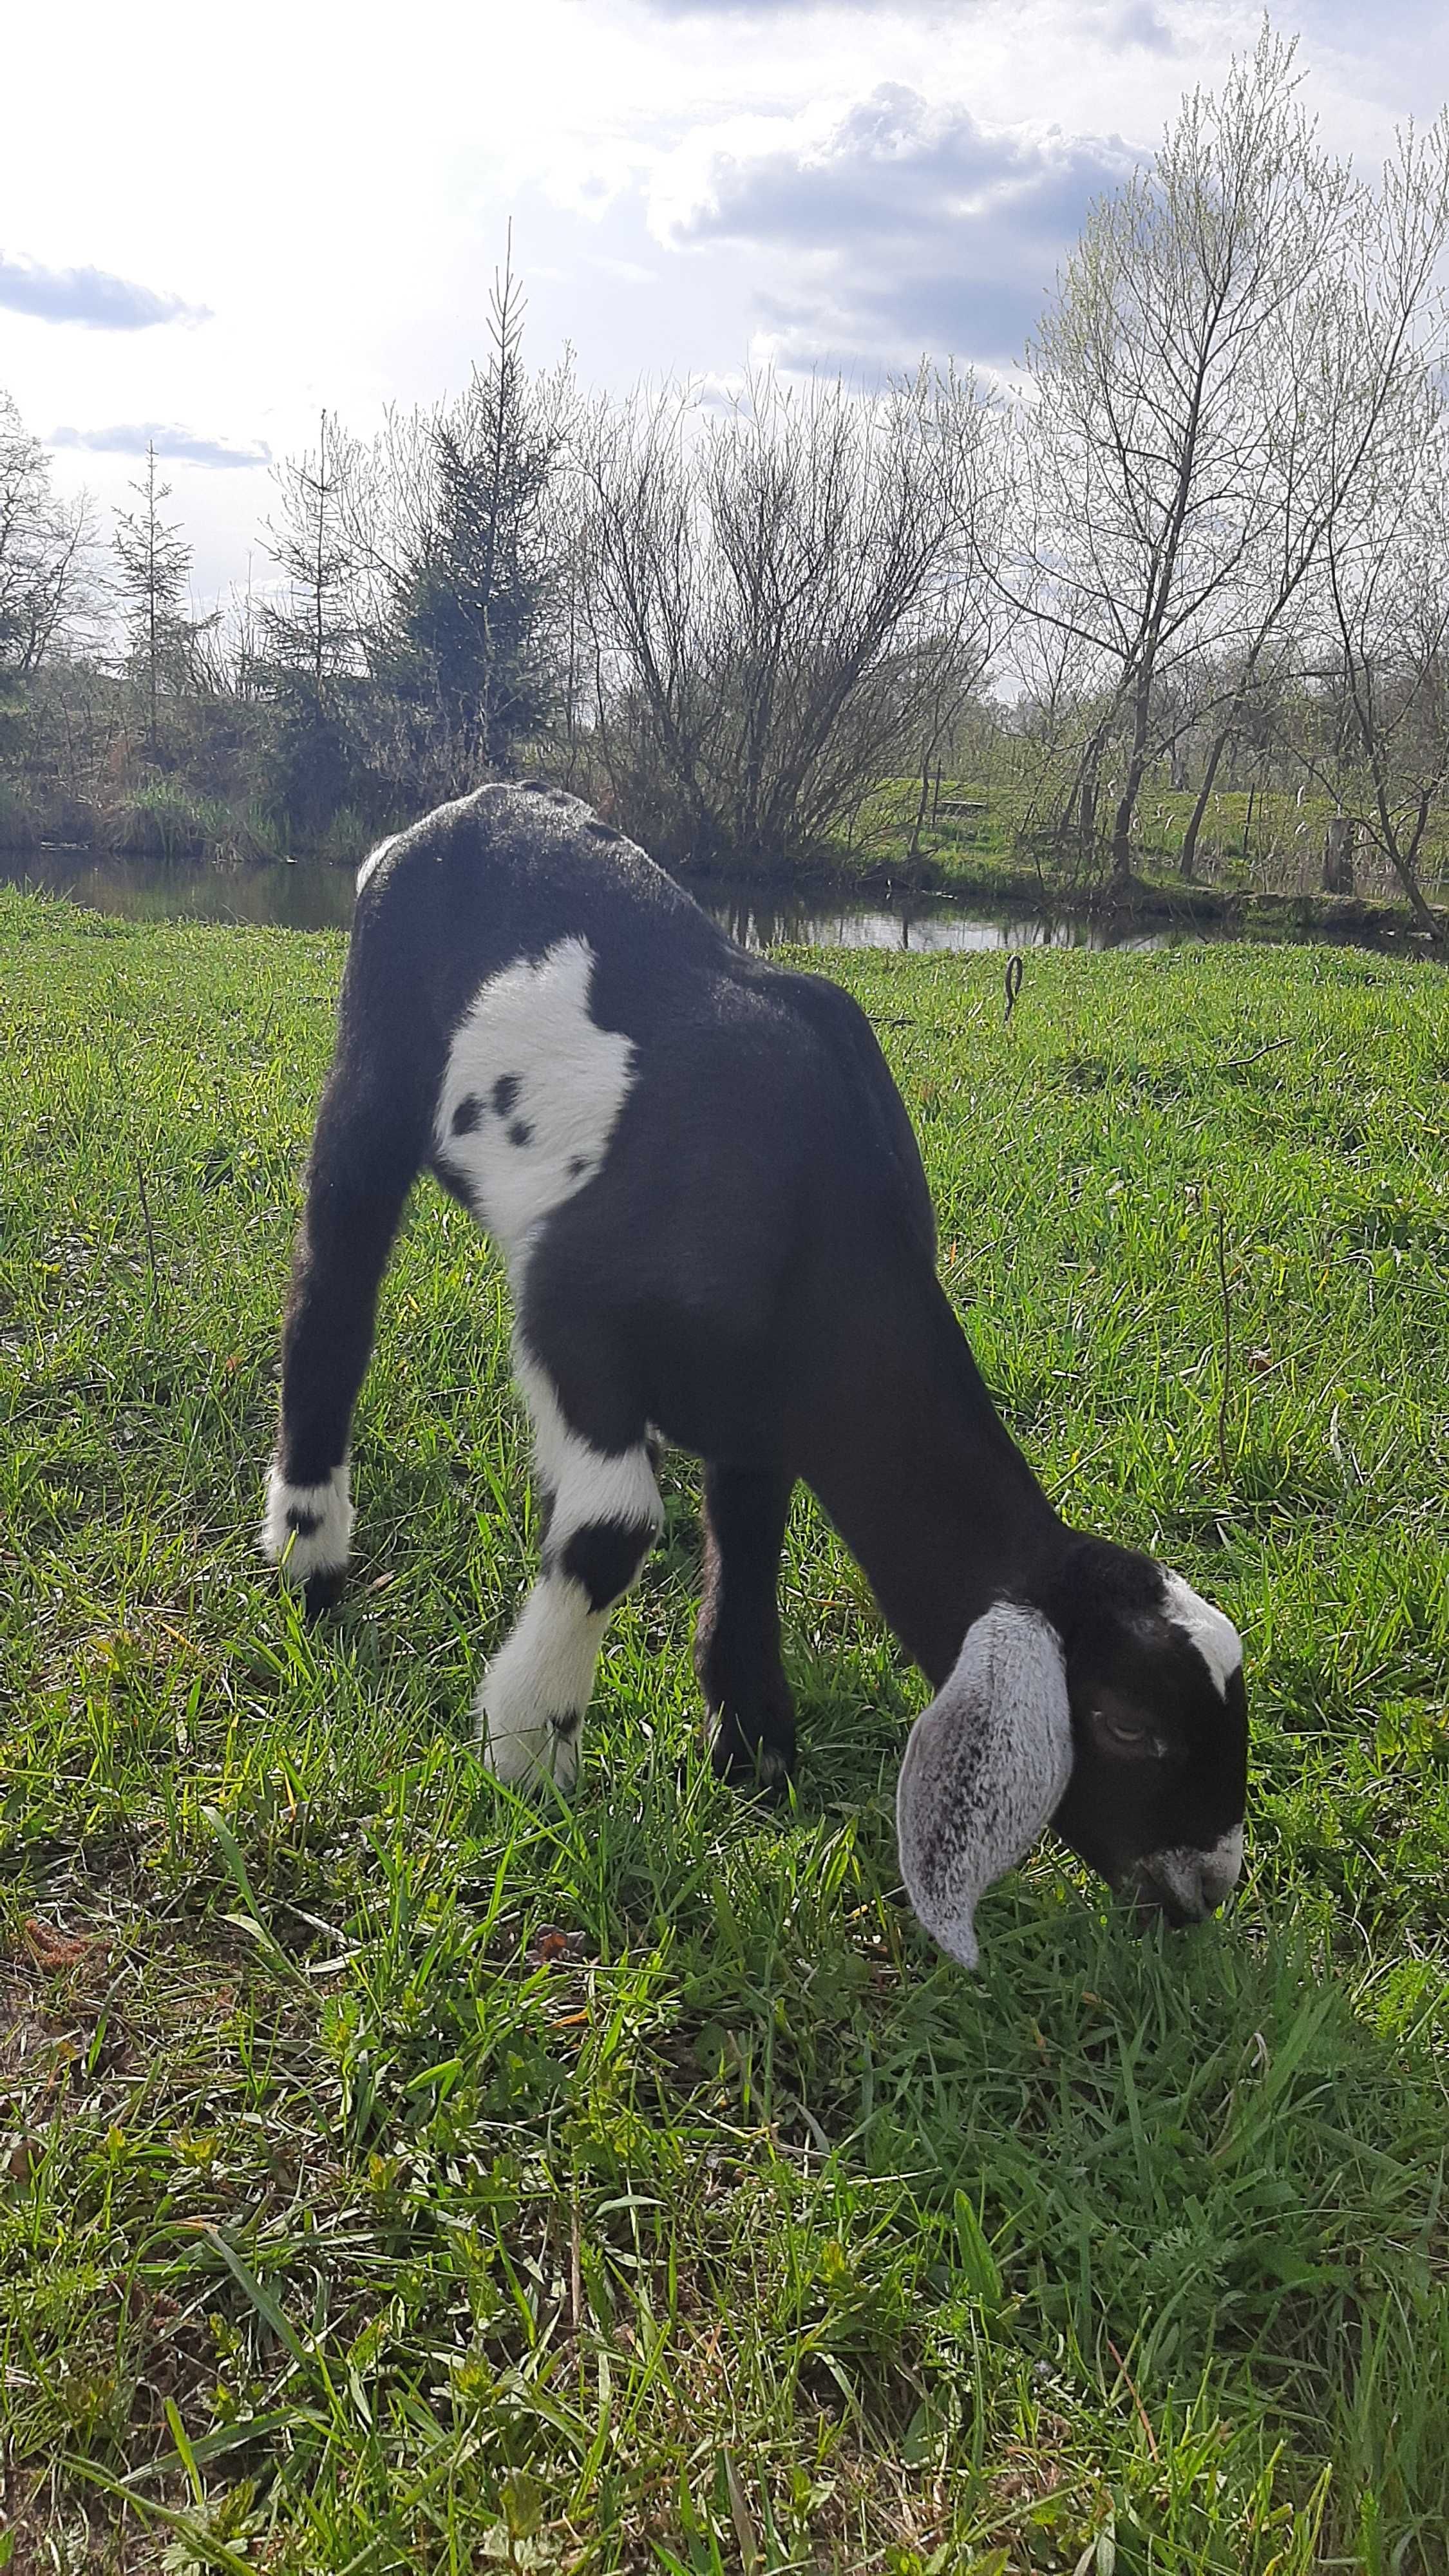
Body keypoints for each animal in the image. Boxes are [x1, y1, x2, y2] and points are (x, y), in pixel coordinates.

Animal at [261, 783, 1242, 1968]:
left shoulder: (760, 1414)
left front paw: (753, 1744)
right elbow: (613, 1529)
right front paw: (528, 1747)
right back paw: (310, 1555)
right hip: (375, 1062)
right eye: (1127, 1724)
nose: (1203, 1889)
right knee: (334, 1278)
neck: (814, 1229)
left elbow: (752, 1535)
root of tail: (468, 805)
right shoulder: (572, 1307)